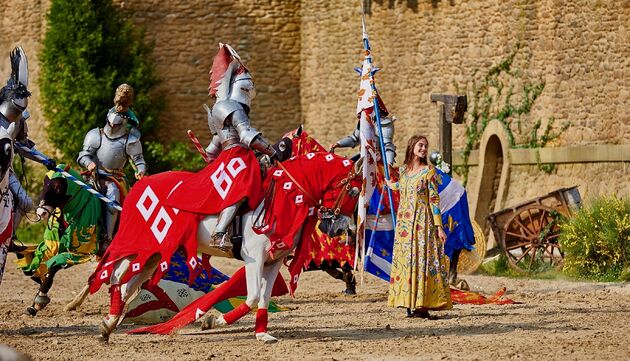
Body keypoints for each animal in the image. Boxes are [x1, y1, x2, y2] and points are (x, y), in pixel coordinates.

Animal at [91, 150, 362, 342]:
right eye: (353, 190)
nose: (340, 229)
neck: (285, 198)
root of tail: (139, 186)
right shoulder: (254, 259)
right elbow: (252, 297)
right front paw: (212, 321)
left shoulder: (272, 262)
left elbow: (263, 299)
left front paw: (262, 334)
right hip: (139, 248)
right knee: (116, 276)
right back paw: (109, 322)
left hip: (154, 256)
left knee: (126, 287)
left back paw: (108, 325)